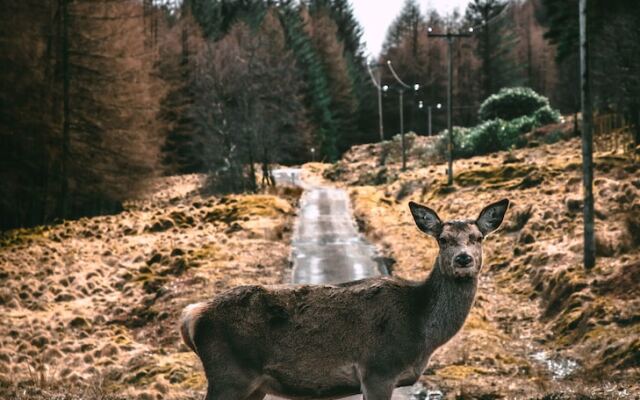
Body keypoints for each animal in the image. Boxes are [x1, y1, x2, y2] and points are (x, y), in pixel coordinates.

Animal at [180, 198, 510, 398]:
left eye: (478, 238)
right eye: (443, 239)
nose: (464, 259)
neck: (419, 331)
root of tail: (192, 314)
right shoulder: (378, 368)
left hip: (252, 383)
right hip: (227, 373)